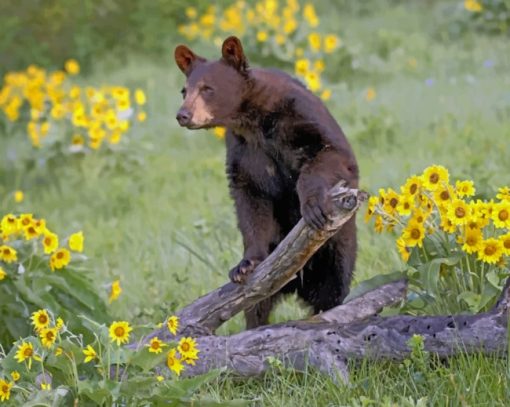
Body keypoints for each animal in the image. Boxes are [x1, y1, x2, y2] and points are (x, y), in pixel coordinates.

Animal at [175, 36, 358, 330]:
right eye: (184, 90)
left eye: (207, 88)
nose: (183, 115)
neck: (253, 120)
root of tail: (299, 283)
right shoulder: (243, 151)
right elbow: (250, 199)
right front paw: (244, 265)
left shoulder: (301, 115)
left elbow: (331, 153)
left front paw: (312, 207)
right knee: (256, 305)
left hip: (337, 250)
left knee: (333, 288)